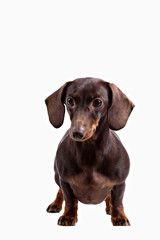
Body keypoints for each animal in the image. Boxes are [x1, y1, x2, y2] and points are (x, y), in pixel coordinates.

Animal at [45, 78, 135, 226]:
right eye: (69, 100)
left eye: (98, 102)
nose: (76, 133)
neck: (90, 154)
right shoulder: (65, 180)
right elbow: (70, 200)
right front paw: (68, 216)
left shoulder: (120, 183)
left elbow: (117, 201)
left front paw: (119, 216)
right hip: (56, 176)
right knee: (60, 192)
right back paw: (56, 204)